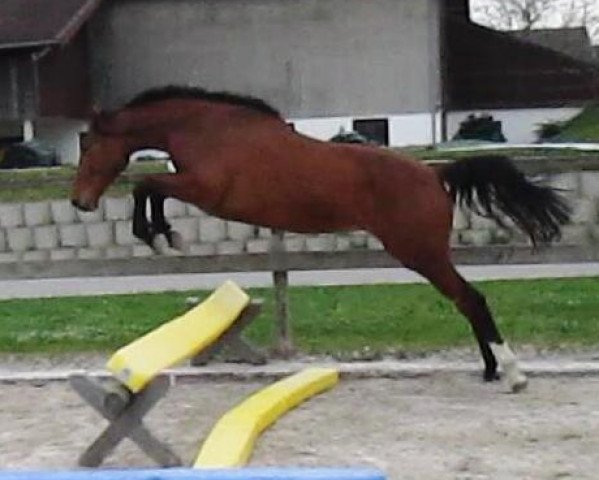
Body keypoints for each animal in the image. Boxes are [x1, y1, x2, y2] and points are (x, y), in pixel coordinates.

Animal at [71, 85, 572, 394]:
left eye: (89, 145)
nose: (80, 201)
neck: (207, 130)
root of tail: (435, 174)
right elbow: (151, 187)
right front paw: (162, 234)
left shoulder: (206, 191)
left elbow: (147, 185)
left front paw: (159, 235)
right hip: (425, 255)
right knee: (466, 300)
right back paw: (490, 370)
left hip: (421, 253)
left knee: (471, 299)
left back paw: (511, 374)